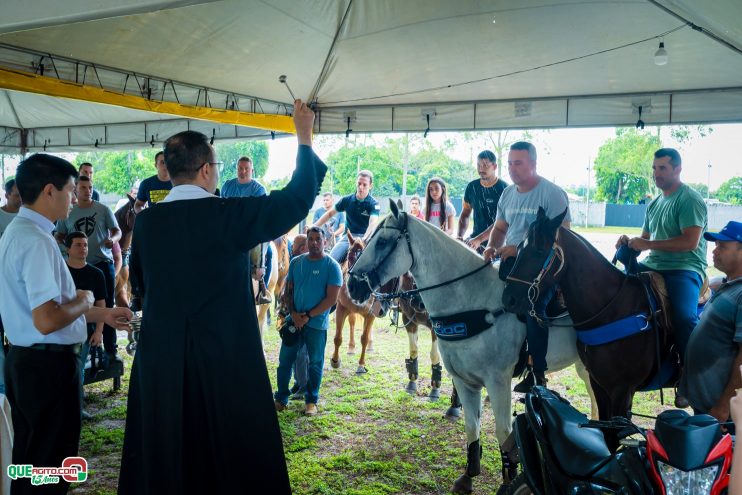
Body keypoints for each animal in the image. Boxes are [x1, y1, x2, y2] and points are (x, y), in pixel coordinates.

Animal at [348, 202, 600, 495]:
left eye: (383, 241)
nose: (352, 284)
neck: (473, 304)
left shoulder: (498, 382)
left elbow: (504, 434)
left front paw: (509, 479)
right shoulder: (464, 380)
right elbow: (472, 428)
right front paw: (468, 476)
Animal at [500, 207, 676, 420]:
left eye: (539, 251)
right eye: (518, 248)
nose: (508, 299)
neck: (612, 310)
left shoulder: (623, 390)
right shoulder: (599, 383)